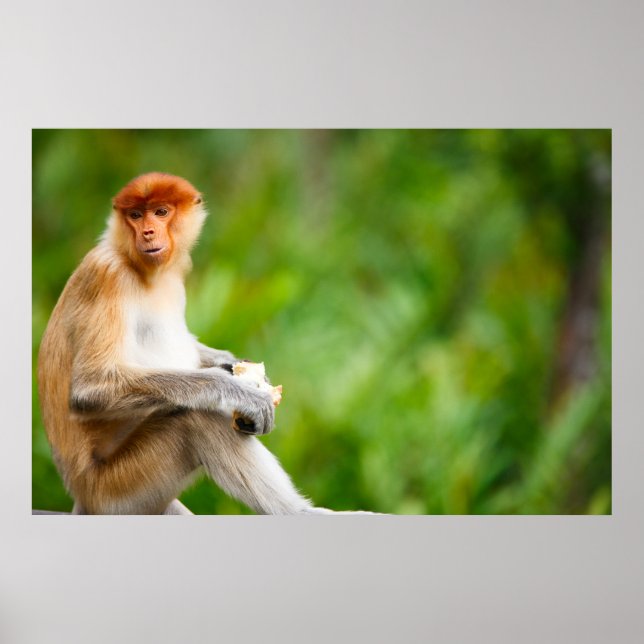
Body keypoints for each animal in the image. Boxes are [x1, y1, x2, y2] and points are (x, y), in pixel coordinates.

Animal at [37, 172, 334, 515]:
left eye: (161, 212)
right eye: (135, 215)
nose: (148, 232)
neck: (139, 268)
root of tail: (82, 496)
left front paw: (232, 364)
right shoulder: (106, 275)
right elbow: (90, 387)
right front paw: (241, 391)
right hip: (116, 491)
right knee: (196, 420)